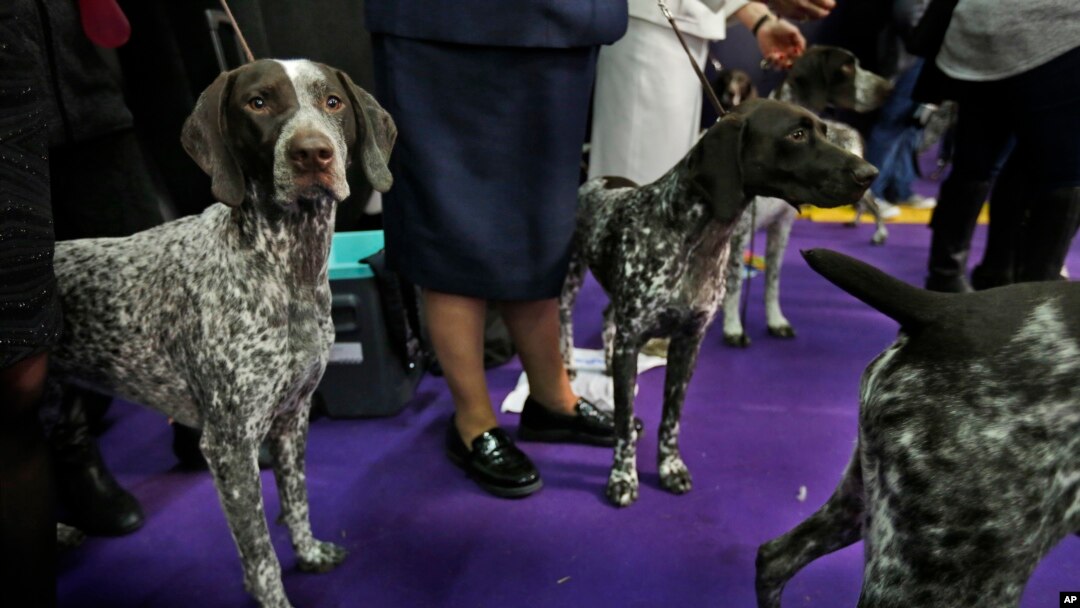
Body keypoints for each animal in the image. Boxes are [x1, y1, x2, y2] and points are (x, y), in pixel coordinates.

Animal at [49, 58, 397, 608]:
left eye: (332, 102)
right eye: (258, 103)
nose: (312, 152)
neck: (285, 266)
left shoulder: (292, 418)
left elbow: (296, 500)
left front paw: (309, 553)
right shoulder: (230, 446)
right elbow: (260, 553)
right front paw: (274, 598)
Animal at [561, 100, 881, 509]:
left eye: (825, 131)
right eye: (796, 134)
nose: (869, 173)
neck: (695, 238)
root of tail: (597, 179)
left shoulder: (687, 344)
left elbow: (671, 419)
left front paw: (670, 467)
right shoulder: (632, 342)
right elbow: (623, 422)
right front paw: (622, 477)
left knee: (606, 319)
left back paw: (603, 361)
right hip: (571, 275)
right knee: (565, 320)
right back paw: (570, 365)